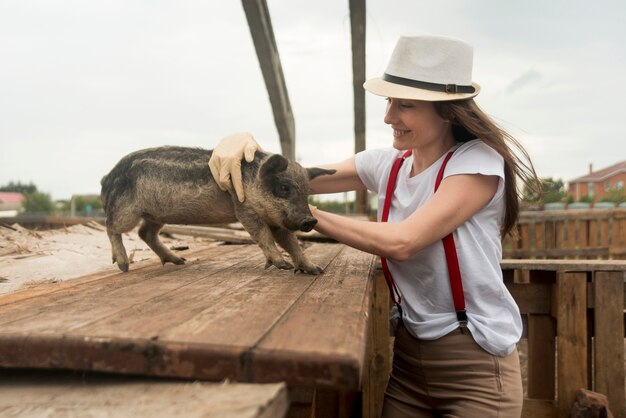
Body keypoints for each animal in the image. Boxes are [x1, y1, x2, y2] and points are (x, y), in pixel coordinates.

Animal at [101, 147, 336, 274]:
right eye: (284, 188)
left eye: (307, 192)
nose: (309, 221)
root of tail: (107, 176)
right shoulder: (244, 209)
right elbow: (263, 235)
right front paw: (282, 265)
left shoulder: (278, 220)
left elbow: (292, 244)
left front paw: (316, 270)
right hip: (125, 210)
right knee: (111, 227)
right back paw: (123, 266)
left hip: (155, 215)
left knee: (145, 233)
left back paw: (179, 261)